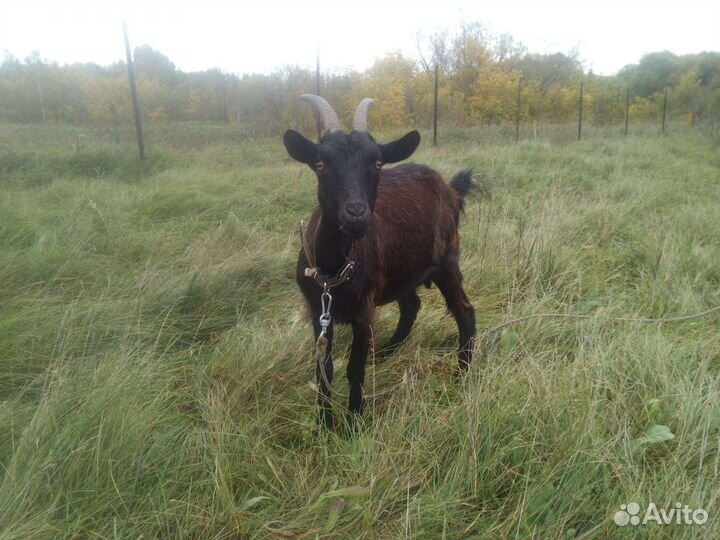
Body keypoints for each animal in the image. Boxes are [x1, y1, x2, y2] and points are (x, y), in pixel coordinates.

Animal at [283, 95, 476, 429]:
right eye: (320, 164)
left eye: (376, 163)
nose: (356, 213)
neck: (333, 271)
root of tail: (450, 188)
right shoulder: (318, 312)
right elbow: (324, 370)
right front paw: (325, 424)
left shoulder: (364, 311)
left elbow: (354, 369)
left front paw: (353, 424)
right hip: (403, 271)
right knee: (411, 306)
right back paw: (386, 354)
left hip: (447, 262)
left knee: (465, 312)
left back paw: (461, 375)